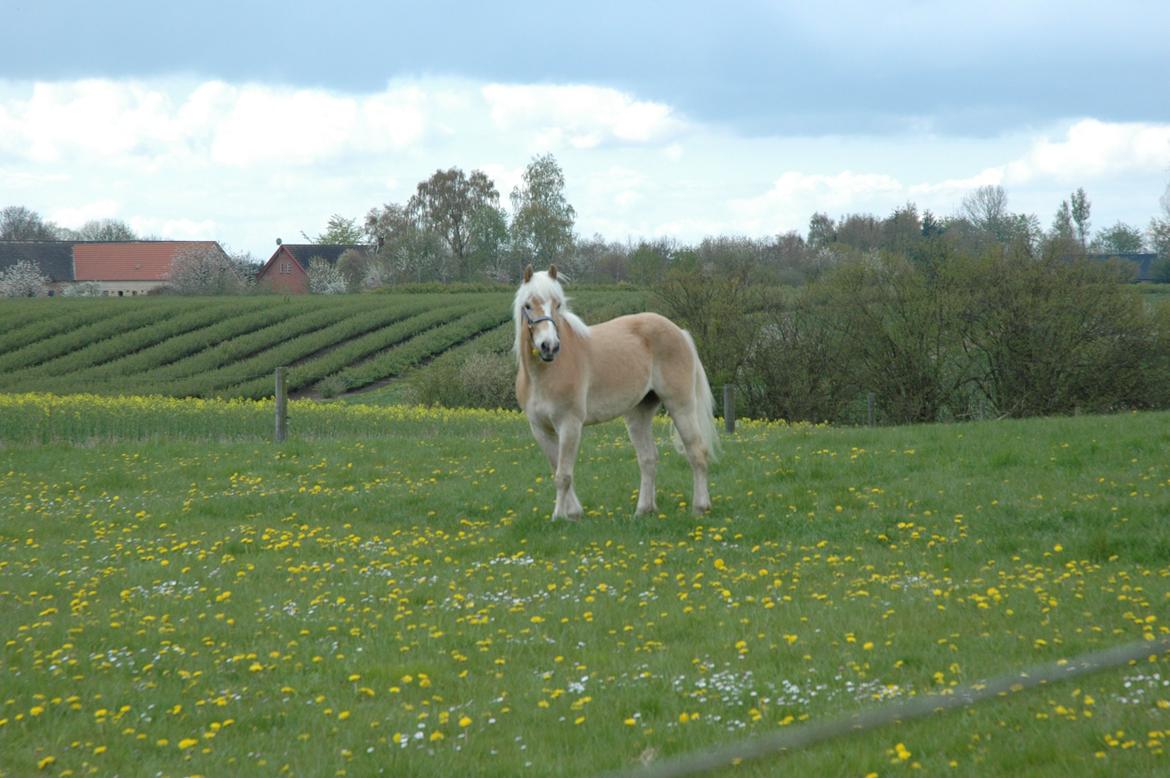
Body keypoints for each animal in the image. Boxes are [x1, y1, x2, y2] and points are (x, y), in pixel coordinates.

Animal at [514, 264, 716, 519]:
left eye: (558, 304)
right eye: (528, 305)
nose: (549, 346)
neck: (543, 374)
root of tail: (679, 331)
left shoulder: (569, 424)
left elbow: (563, 475)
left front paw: (559, 517)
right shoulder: (540, 429)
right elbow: (556, 469)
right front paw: (574, 513)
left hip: (681, 406)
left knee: (696, 452)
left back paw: (699, 507)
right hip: (638, 414)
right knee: (648, 459)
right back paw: (643, 510)